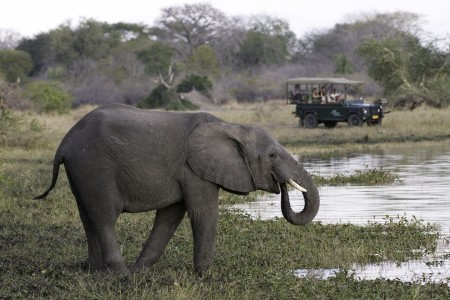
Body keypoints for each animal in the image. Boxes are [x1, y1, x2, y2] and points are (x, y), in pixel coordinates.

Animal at [34, 103, 320, 274]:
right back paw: (120, 276)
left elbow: (171, 216)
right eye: (272, 155)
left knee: (88, 217)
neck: (230, 126)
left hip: (81, 172)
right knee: (104, 217)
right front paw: (205, 276)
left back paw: (99, 272)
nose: (282, 185)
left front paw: (142, 272)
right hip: (95, 167)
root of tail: (65, 142)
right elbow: (204, 213)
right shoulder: (192, 169)